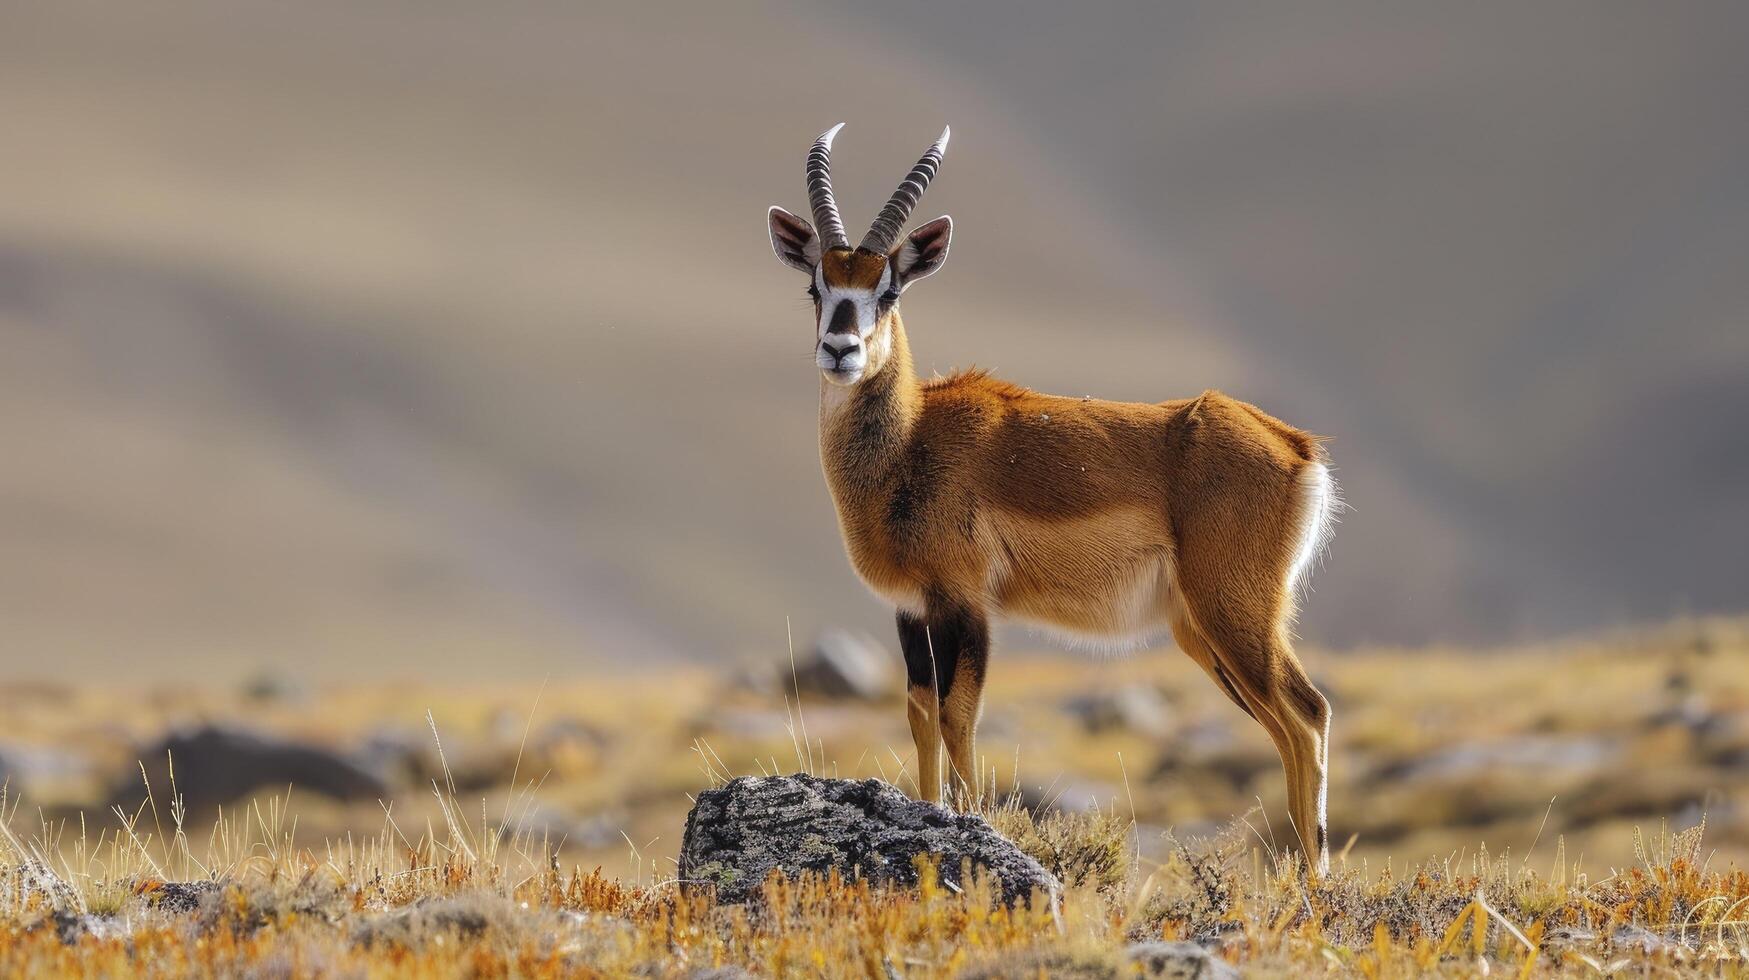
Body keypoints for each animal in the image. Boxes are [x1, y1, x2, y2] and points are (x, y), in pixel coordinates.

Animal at [762, 124, 1336, 871]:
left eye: (887, 290)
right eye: (817, 285)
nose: (840, 349)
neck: (911, 440)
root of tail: (1294, 446)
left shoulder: (966, 606)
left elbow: (958, 717)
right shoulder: (911, 611)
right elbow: (919, 717)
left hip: (1233, 619)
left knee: (1305, 718)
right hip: (1205, 635)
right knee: (1297, 721)